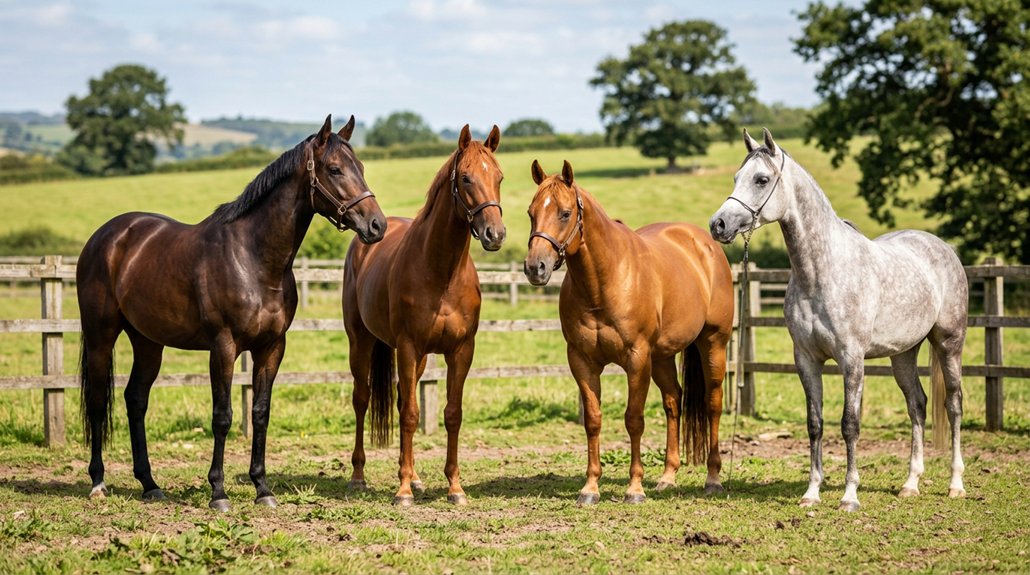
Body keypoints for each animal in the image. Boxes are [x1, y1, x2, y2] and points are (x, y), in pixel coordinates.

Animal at [77, 115, 386, 512]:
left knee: (135, 400)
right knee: (98, 400)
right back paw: (98, 481)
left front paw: (262, 488)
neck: (253, 258)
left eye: (359, 167)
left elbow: (260, 413)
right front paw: (218, 492)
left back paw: (149, 484)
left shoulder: (271, 347)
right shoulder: (223, 347)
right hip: (101, 335)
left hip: (148, 342)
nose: (377, 225)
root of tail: (106, 236)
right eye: (334, 169)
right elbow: (222, 416)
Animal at [343, 124, 504, 506]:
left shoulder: (461, 351)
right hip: (361, 342)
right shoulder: (408, 346)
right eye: (466, 178)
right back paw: (359, 476)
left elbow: (451, 414)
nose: (495, 234)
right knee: (362, 400)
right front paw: (402, 491)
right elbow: (411, 415)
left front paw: (454, 487)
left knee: (404, 398)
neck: (440, 272)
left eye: (499, 177)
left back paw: (414, 477)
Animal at [524, 160, 734, 505]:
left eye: (565, 213)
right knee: (673, 402)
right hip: (661, 357)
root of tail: (704, 244)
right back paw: (667, 477)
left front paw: (635, 488)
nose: (534, 267)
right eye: (531, 212)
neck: (605, 280)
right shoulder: (582, 361)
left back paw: (713, 478)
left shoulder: (636, 359)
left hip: (713, 343)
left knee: (712, 403)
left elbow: (634, 419)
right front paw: (590, 488)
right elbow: (593, 421)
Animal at [709, 128, 968, 512]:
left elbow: (849, 424)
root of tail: (943, 248)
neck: (822, 271)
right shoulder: (806, 359)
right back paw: (910, 484)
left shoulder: (851, 359)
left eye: (761, 179)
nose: (718, 224)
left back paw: (955, 484)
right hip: (903, 354)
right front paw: (811, 492)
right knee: (917, 406)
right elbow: (815, 423)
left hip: (949, 344)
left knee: (953, 404)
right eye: (736, 177)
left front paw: (849, 496)